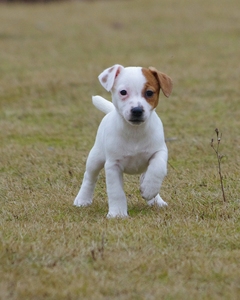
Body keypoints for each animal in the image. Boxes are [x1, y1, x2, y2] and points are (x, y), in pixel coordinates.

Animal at [73, 63, 172, 218]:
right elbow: (116, 192)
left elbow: (157, 169)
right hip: (95, 158)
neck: (134, 132)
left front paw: (149, 189)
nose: (137, 110)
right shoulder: (113, 165)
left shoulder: (159, 151)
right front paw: (118, 214)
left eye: (149, 93)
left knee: (145, 175)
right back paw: (82, 199)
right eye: (123, 92)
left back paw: (156, 200)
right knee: (89, 177)